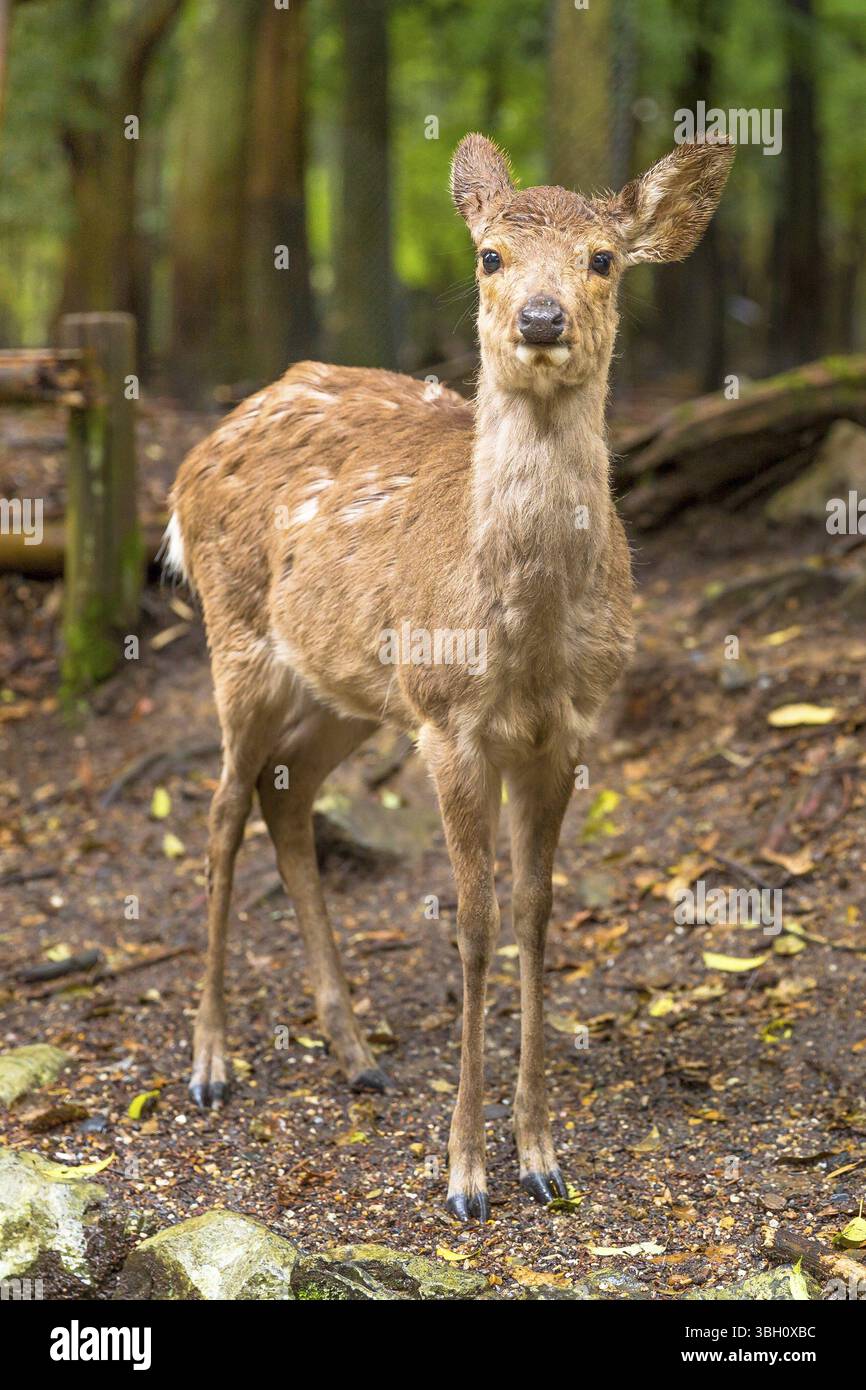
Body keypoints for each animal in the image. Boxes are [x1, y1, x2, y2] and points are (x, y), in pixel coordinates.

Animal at [166, 133, 734, 1221]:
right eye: (489, 255)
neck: (523, 638)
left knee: (284, 796)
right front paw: (466, 1173)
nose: (542, 318)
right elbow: (472, 923)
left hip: (348, 688)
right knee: (217, 811)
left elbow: (538, 913)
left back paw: (356, 1054)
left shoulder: (567, 730)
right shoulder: (450, 723)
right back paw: (209, 1064)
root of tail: (193, 457)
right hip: (238, 634)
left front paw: (542, 1155)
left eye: (604, 259)